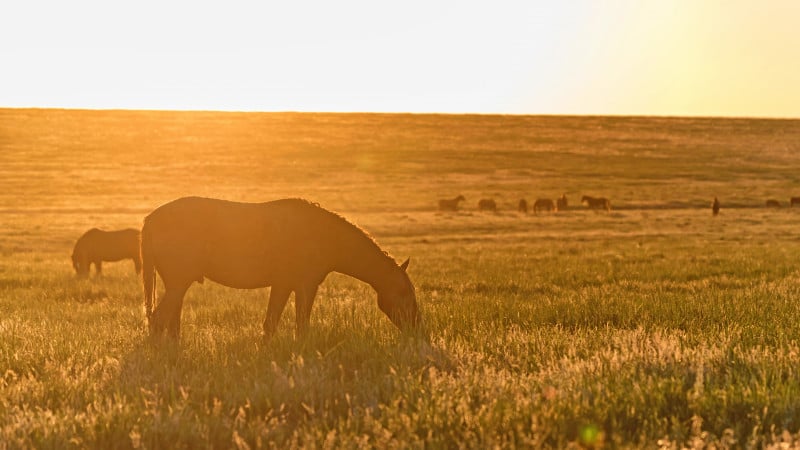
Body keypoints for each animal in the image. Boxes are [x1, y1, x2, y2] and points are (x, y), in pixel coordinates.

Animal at [142, 195, 418, 340]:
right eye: (404, 294)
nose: (416, 328)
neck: (327, 236)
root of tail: (151, 219)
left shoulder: (283, 285)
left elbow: (271, 323)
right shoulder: (306, 286)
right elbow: (301, 325)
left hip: (177, 285)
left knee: (169, 322)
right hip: (178, 283)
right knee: (158, 320)